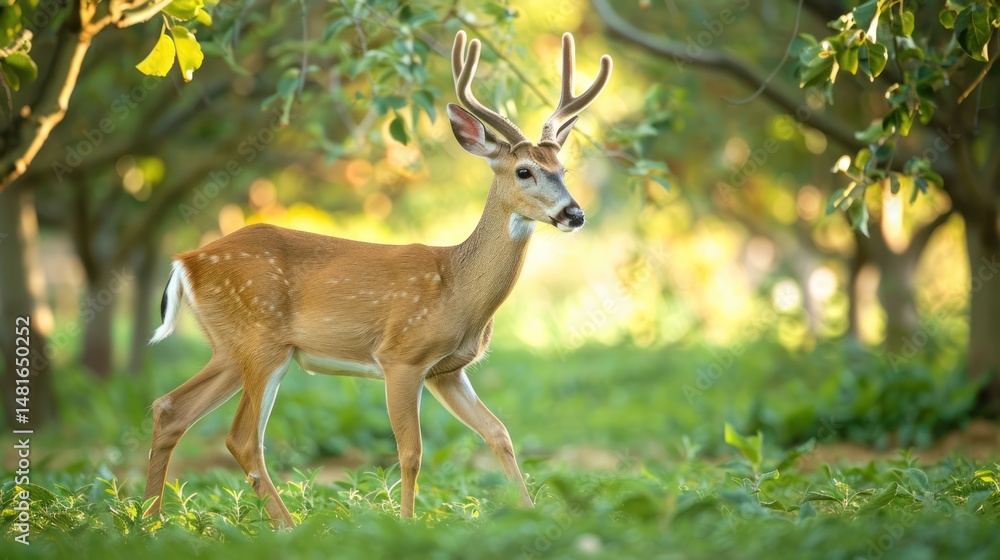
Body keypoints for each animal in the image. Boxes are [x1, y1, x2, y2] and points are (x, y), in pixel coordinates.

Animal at [142, 30, 612, 524]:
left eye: (562, 170)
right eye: (525, 171)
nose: (574, 214)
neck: (458, 286)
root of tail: (185, 260)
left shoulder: (447, 370)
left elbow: (499, 432)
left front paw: (532, 513)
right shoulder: (401, 356)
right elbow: (411, 452)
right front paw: (406, 525)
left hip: (231, 347)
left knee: (170, 408)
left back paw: (150, 522)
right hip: (260, 341)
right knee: (243, 438)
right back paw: (288, 528)